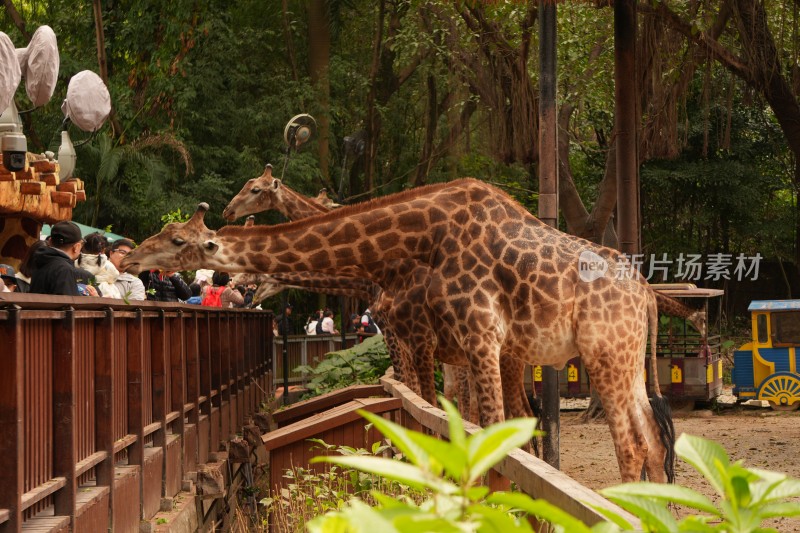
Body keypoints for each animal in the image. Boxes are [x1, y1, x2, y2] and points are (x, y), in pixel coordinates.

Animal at [123, 179, 676, 482]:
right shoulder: (449, 344)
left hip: (601, 353)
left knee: (627, 443)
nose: (129, 257)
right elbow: (439, 417)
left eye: (177, 241)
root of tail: (647, 293)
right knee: (652, 440)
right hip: (620, 357)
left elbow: (476, 430)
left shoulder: (462, 336)